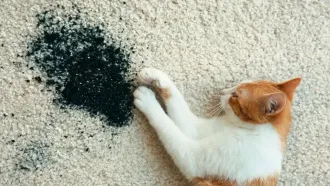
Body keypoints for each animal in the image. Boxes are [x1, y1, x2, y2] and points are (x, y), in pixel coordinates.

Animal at [134, 67, 302, 185]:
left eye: (235, 95)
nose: (223, 91)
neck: (243, 129)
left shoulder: (192, 159)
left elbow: (168, 128)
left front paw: (147, 100)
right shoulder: (195, 129)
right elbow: (177, 102)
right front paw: (154, 75)